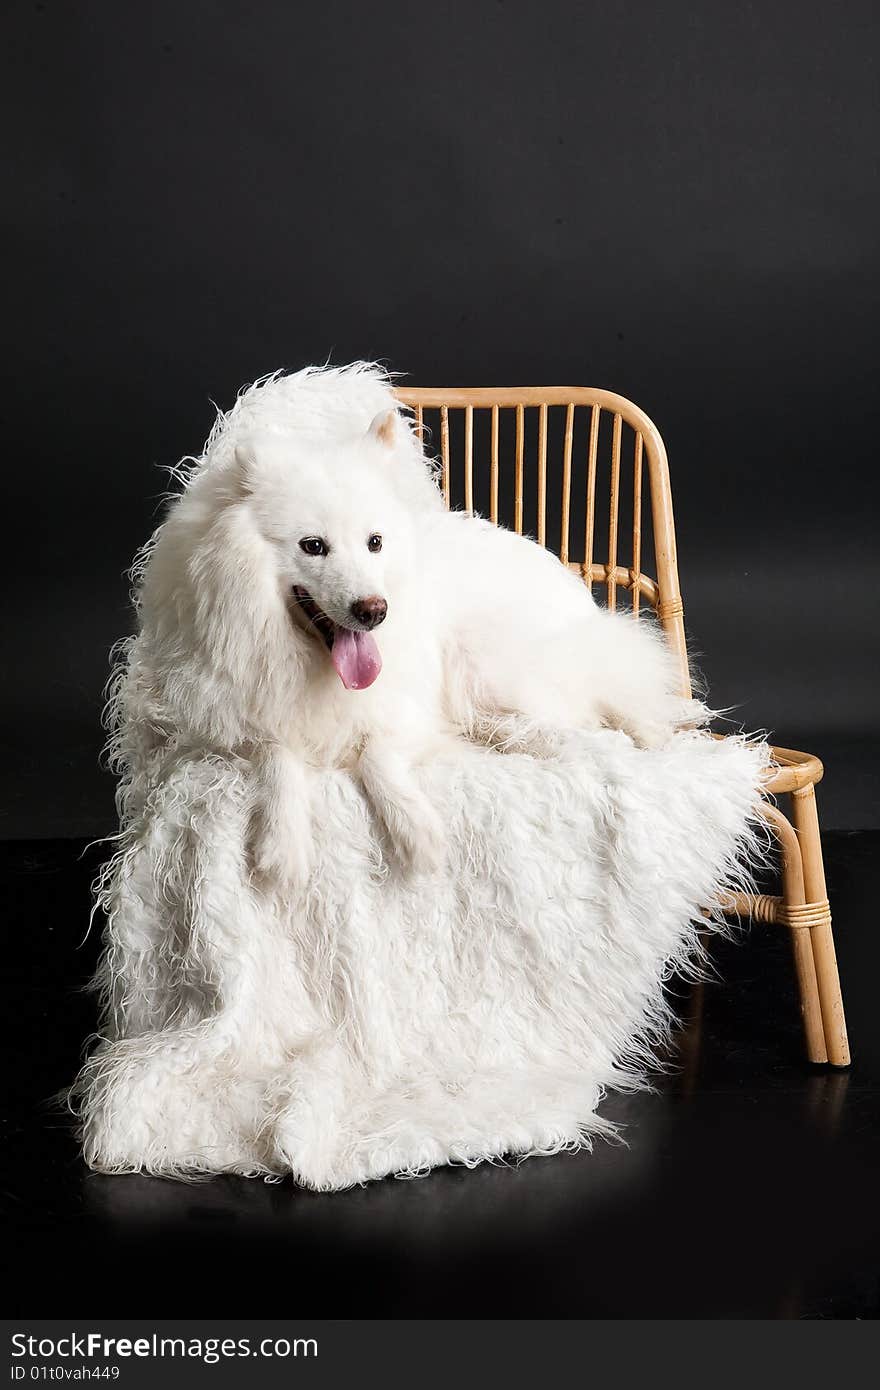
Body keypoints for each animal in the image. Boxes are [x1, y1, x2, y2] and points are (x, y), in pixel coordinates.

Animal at [111, 364, 700, 889]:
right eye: (313, 546)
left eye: (375, 542)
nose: (375, 610)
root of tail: (583, 603)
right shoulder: (232, 723)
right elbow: (277, 754)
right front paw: (283, 848)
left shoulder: (408, 708)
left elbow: (377, 753)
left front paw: (416, 835)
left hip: (483, 660)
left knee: (593, 709)